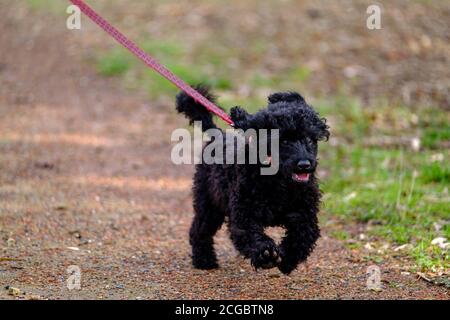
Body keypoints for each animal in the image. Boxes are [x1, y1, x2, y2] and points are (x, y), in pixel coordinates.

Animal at [176, 85, 330, 276]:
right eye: (283, 141)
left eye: (309, 139)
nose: (304, 165)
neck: (280, 183)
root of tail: (217, 135)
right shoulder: (244, 215)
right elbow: (251, 235)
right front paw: (266, 254)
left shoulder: (304, 214)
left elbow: (303, 235)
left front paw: (287, 259)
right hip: (209, 204)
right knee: (198, 231)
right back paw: (204, 261)